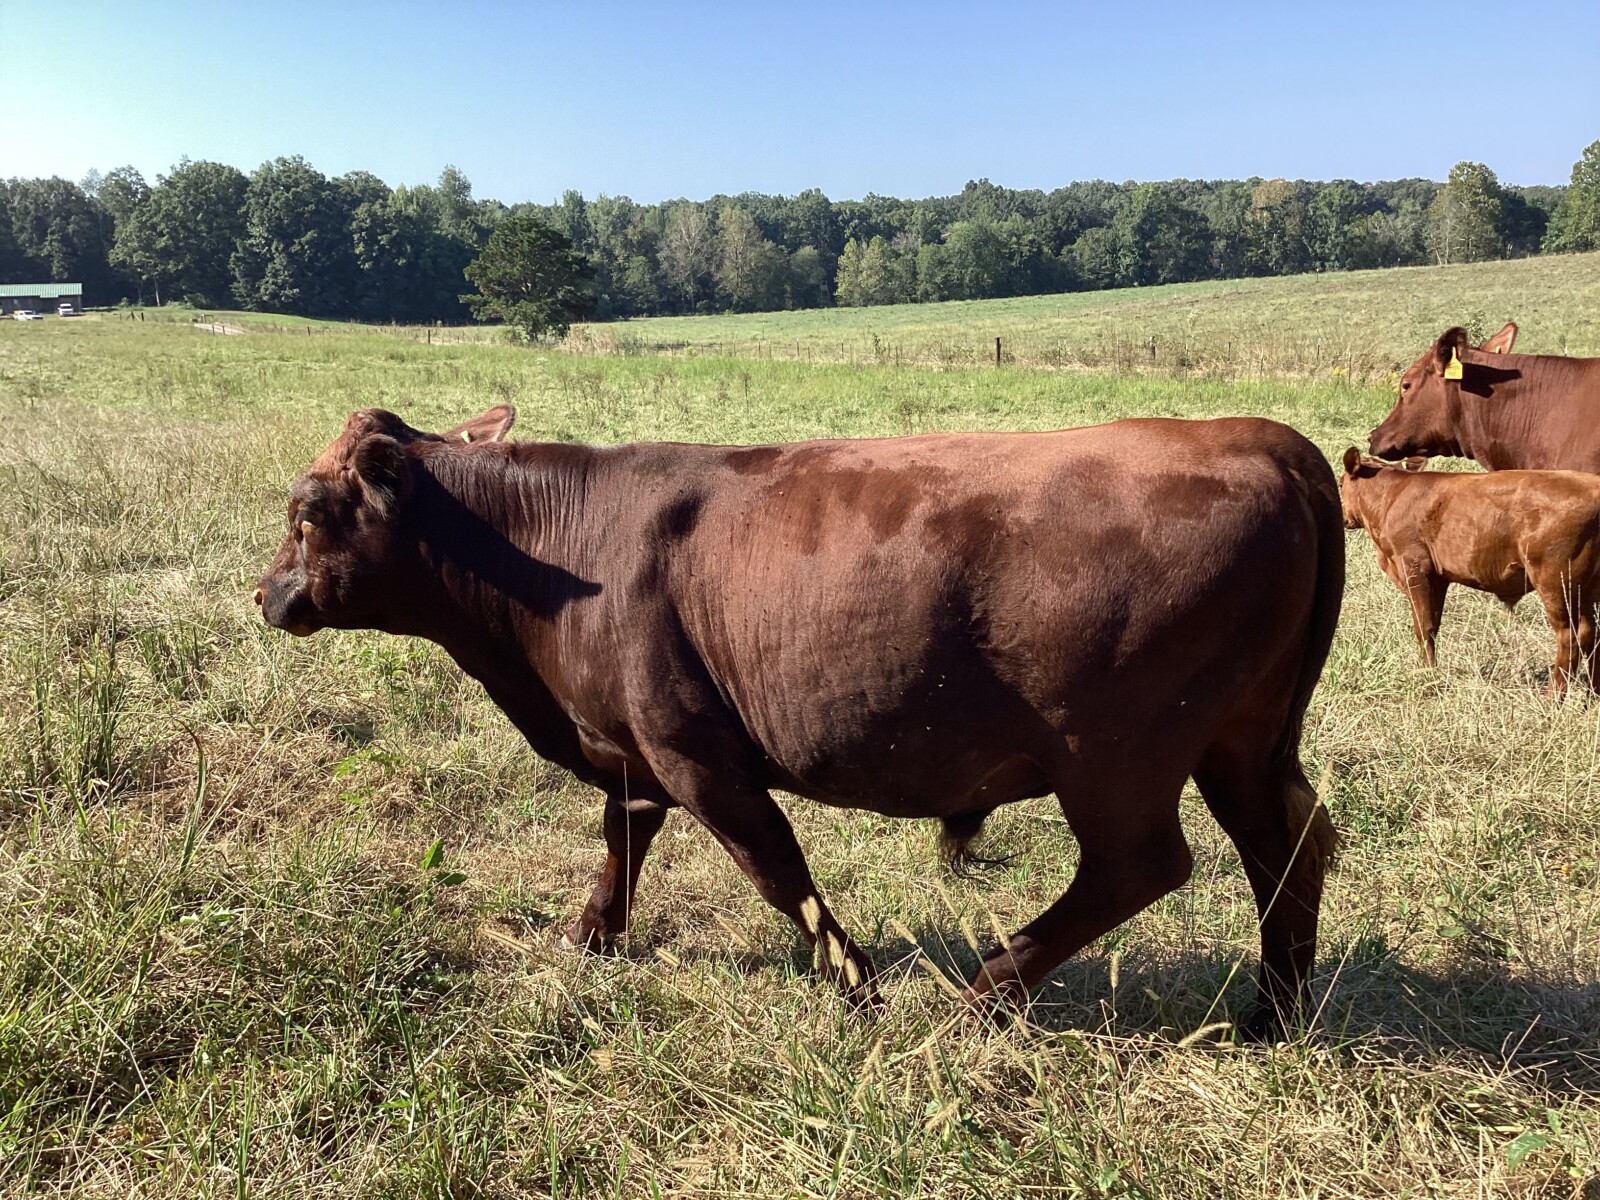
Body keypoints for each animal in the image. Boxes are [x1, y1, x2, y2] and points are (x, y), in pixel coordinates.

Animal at [256, 404, 1345, 1037]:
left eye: (307, 509)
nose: (267, 594)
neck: (557, 551)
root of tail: (1257, 437)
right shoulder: (632, 748)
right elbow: (621, 838)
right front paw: (593, 934)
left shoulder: (693, 753)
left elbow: (777, 871)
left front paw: (858, 987)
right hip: (1241, 742)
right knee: (1288, 846)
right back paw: (1275, 1010)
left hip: (1113, 758)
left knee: (1142, 865)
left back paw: (982, 994)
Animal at [1339, 447, 1600, 696]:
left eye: (1340, 484)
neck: (1391, 497)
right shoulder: (1439, 578)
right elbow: (1433, 626)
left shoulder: (1414, 566)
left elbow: (1422, 626)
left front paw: (1426, 675)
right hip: (1586, 589)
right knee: (1591, 632)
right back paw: (1592, 695)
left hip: (1556, 581)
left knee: (1570, 635)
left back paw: (1552, 699)